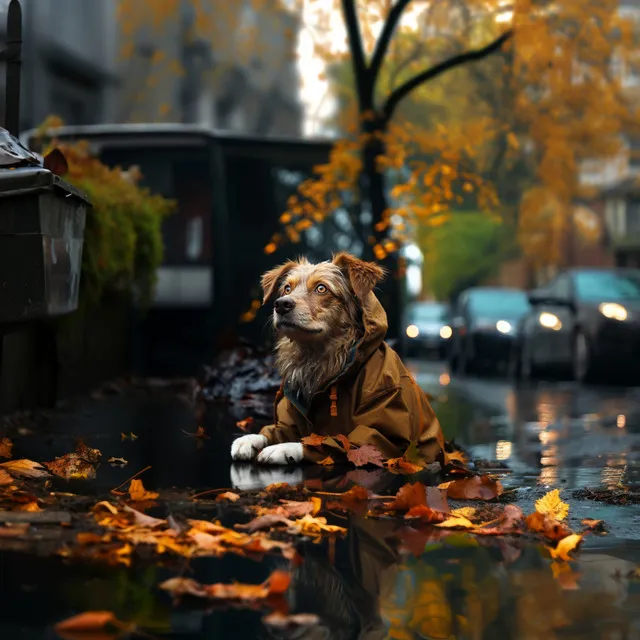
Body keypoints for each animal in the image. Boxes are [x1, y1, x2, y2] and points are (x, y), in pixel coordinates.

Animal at [230, 252, 444, 468]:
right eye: (287, 289)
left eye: (321, 288)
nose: (281, 304)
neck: (318, 357)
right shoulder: (291, 419)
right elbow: (276, 430)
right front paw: (250, 438)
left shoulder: (384, 432)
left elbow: (327, 440)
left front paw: (284, 448)